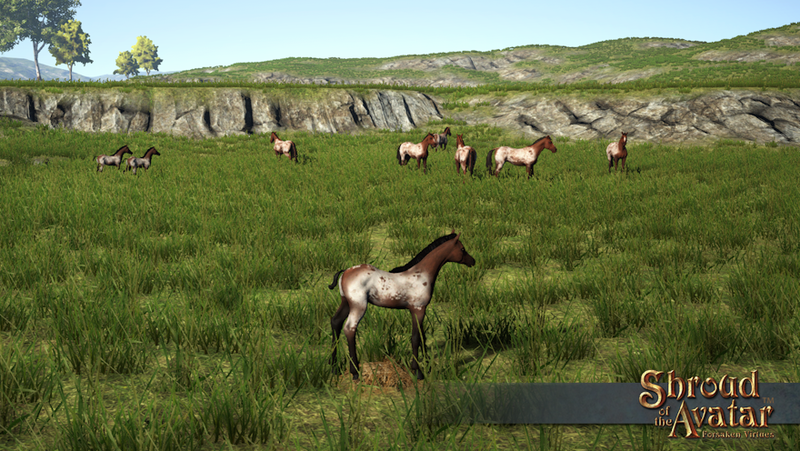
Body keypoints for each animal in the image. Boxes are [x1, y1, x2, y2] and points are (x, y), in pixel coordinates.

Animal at [328, 232, 475, 381]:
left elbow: (423, 336)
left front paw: (428, 366)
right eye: (462, 249)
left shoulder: (419, 310)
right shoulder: (418, 309)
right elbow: (416, 338)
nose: (473, 261)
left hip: (346, 303)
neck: (421, 274)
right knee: (349, 329)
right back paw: (355, 372)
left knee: (336, 322)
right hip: (359, 306)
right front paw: (418, 372)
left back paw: (334, 368)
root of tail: (345, 272)